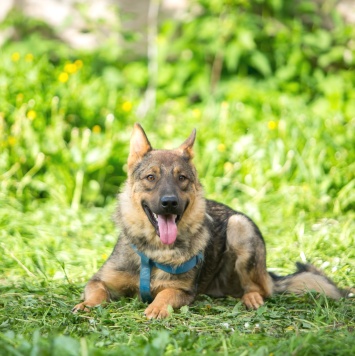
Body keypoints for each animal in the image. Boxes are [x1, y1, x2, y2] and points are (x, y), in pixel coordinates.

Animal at [73, 124, 354, 318]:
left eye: (182, 178)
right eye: (151, 177)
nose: (169, 203)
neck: (153, 251)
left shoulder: (184, 292)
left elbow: (165, 294)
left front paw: (157, 307)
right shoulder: (98, 280)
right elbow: (97, 293)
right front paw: (87, 305)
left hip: (240, 227)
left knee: (259, 288)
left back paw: (252, 298)